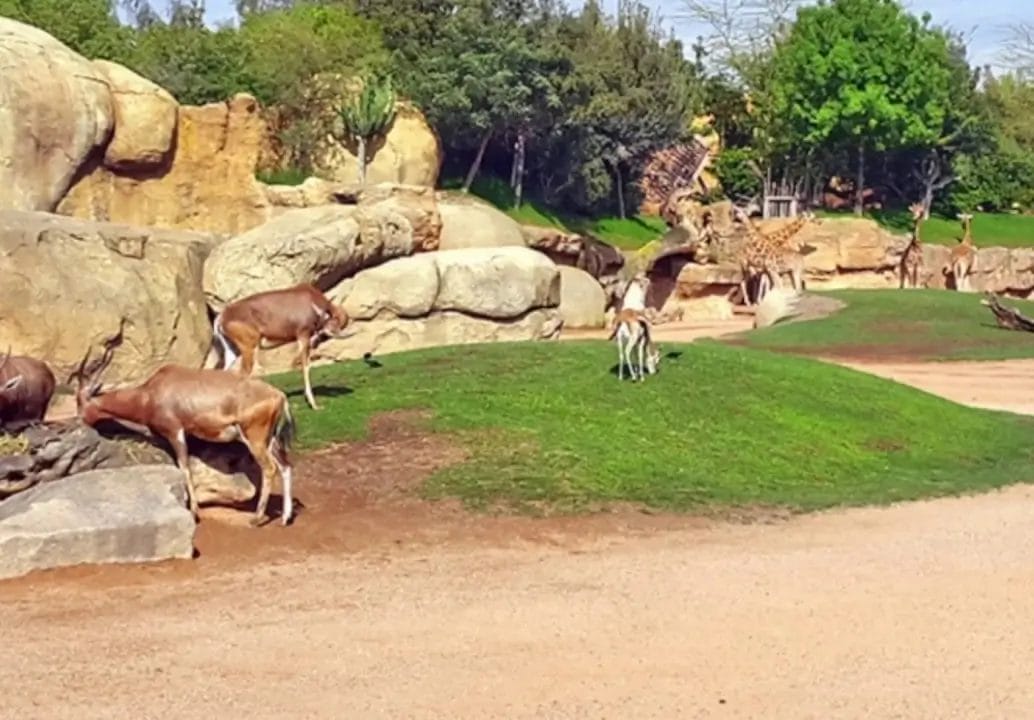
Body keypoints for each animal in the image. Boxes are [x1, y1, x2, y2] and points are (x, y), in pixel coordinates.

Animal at [70, 322, 297, 529]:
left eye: (79, 403)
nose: (79, 422)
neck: (150, 391)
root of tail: (279, 395)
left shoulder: (175, 432)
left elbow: (184, 466)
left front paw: (195, 511)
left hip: (255, 439)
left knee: (270, 468)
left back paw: (257, 519)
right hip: (270, 441)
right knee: (285, 466)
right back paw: (285, 518)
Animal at [202, 283, 355, 413]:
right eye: (333, 322)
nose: (316, 342)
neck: (308, 297)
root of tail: (223, 316)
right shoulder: (303, 336)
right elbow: (305, 366)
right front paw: (314, 405)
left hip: (233, 352)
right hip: (249, 349)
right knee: (242, 373)